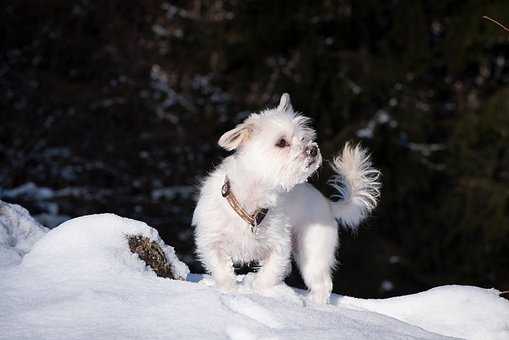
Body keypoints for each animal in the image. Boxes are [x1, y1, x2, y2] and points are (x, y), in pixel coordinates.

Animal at [192, 93, 380, 302]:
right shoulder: (211, 242)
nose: (313, 150)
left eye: (304, 138)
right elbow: (222, 272)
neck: (250, 203)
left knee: (322, 285)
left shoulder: (279, 247)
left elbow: (267, 276)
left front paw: (258, 290)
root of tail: (326, 203)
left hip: (313, 251)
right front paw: (230, 292)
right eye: (281, 142)